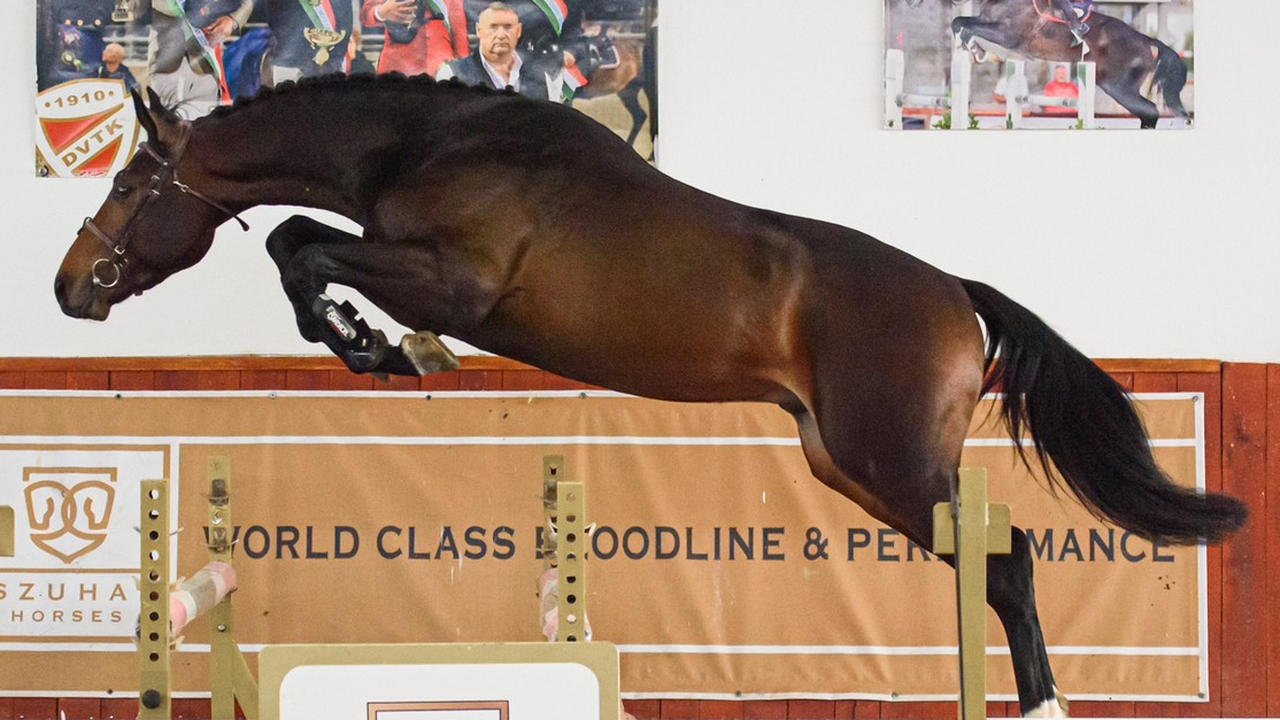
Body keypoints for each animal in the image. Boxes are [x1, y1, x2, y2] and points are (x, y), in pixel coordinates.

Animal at [54, 77, 1244, 717]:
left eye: (129, 183)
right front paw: (382, 348)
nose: (70, 288)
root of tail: (955, 293)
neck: (427, 146)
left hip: (895, 468)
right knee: (997, 570)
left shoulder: (456, 281)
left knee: (1009, 562)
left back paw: (1041, 700)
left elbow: (305, 250)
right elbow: (298, 243)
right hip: (852, 468)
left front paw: (379, 350)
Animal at [951, 0, 1190, 128]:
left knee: (1150, 110)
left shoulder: (1007, 35)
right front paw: (972, 47)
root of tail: (1147, 41)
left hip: (1120, 88)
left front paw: (971, 46)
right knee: (1148, 113)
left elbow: (963, 23)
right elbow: (961, 22)